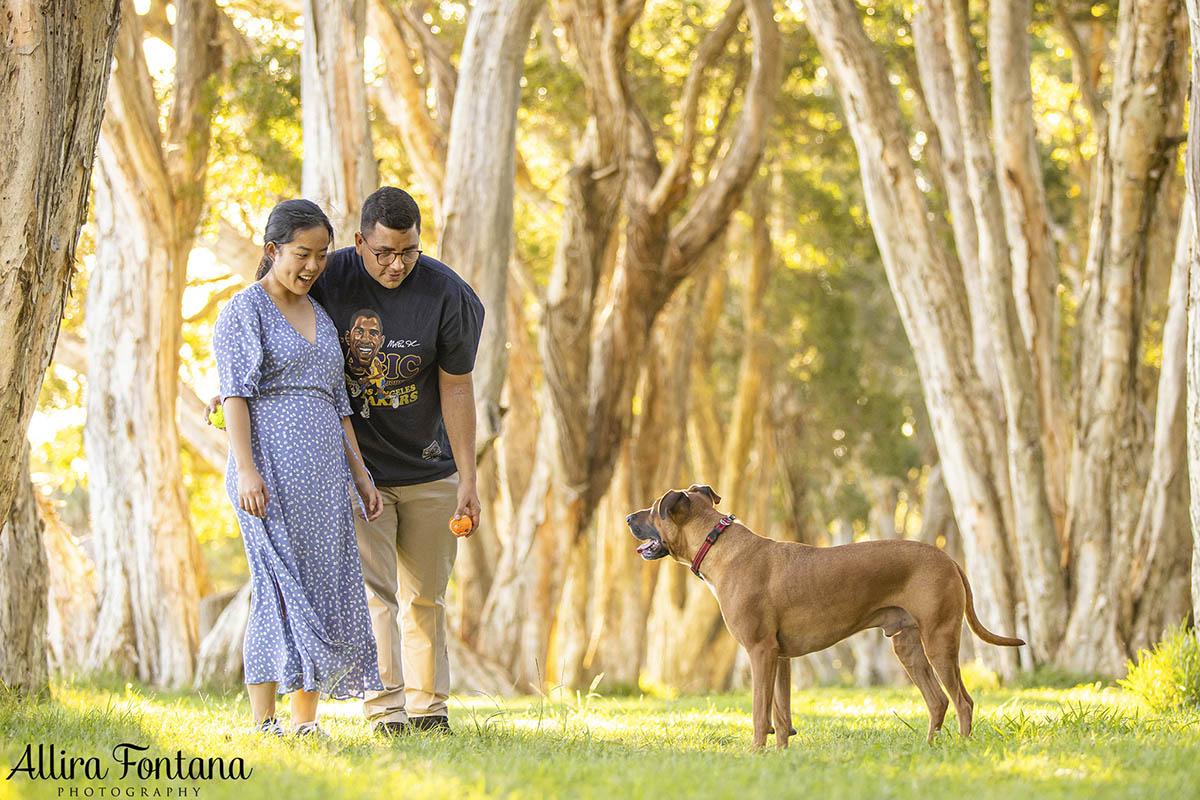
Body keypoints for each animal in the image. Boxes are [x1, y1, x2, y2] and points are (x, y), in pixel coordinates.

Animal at [624, 482, 1027, 753]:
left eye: (653, 508)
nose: (627, 516)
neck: (719, 545)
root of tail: (949, 558)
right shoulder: (779, 657)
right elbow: (781, 716)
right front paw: (780, 756)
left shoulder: (759, 651)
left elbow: (759, 713)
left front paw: (755, 753)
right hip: (908, 646)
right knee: (938, 701)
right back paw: (929, 749)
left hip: (939, 640)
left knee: (962, 701)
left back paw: (961, 747)